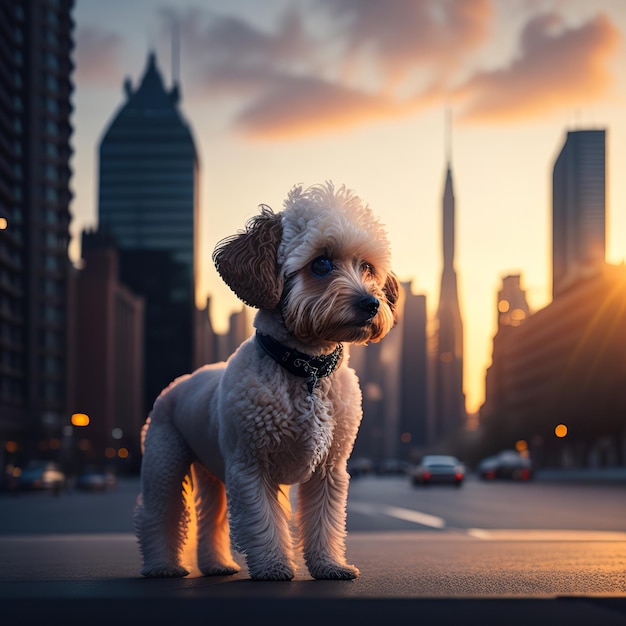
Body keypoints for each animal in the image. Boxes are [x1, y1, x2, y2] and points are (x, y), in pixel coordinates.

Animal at [134, 182, 402, 580]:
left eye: (367, 266)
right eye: (321, 264)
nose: (372, 303)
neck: (306, 370)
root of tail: (179, 381)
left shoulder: (329, 470)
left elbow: (325, 522)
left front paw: (329, 565)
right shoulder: (251, 466)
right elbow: (263, 522)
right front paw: (274, 566)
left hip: (213, 472)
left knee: (212, 517)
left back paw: (217, 565)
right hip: (164, 461)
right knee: (158, 512)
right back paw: (162, 566)